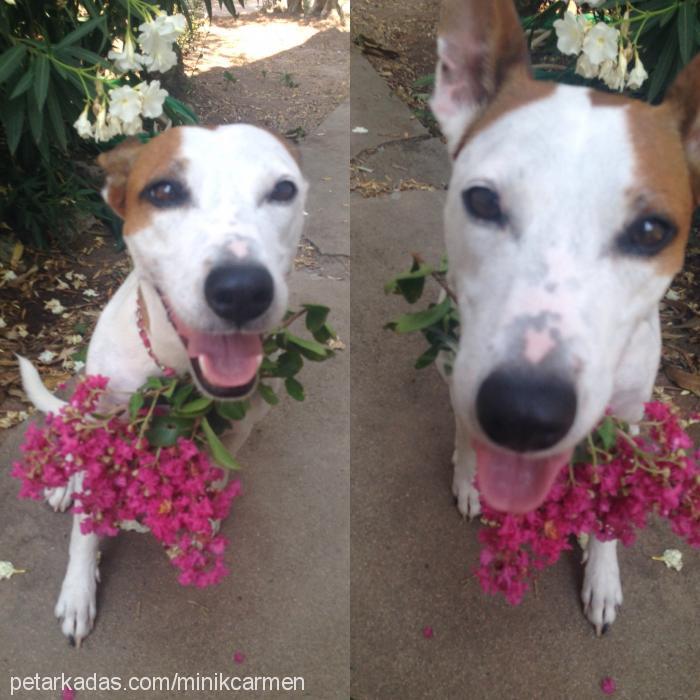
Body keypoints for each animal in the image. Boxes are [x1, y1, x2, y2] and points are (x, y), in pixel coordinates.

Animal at [19, 123, 308, 644]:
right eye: (164, 191)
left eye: (283, 189)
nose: (241, 290)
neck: (175, 370)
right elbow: (85, 528)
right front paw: (78, 590)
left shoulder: (235, 428)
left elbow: (215, 471)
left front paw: (205, 515)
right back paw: (65, 484)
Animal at [430, 0, 700, 636]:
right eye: (482, 200)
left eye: (651, 231)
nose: (524, 415)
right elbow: (466, 433)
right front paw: (469, 477)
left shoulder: (626, 417)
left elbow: (609, 508)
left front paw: (601, 574)